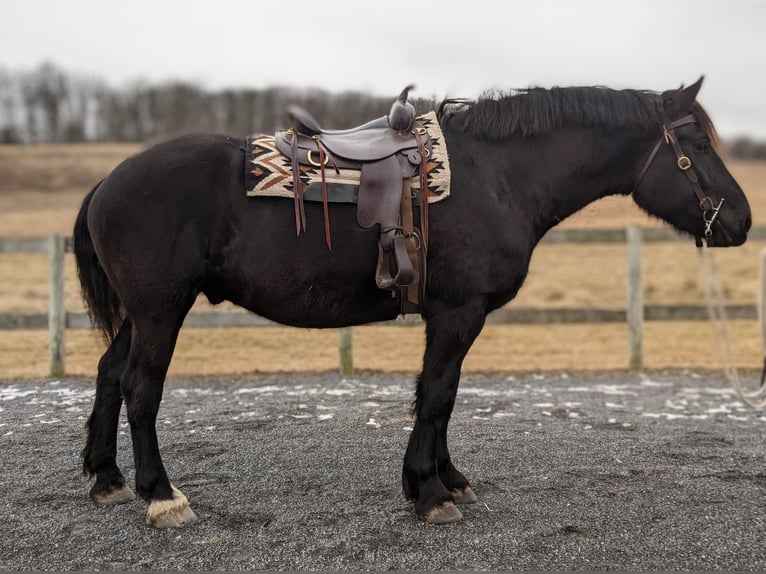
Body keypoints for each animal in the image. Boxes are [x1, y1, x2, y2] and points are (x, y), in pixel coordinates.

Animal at [73, 77, 756, 532]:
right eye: (696, 144)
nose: (743, 221)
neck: (499, 176)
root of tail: (108, 181)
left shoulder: (452, 317)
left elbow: (441, 395)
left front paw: (446, 479)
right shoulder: (459, 312)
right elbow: (437, 395)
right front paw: (429, 492)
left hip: (143, 313)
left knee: (109, 375)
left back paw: (108, 480)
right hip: (161, 310)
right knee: (140, 387)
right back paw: (162, 496)